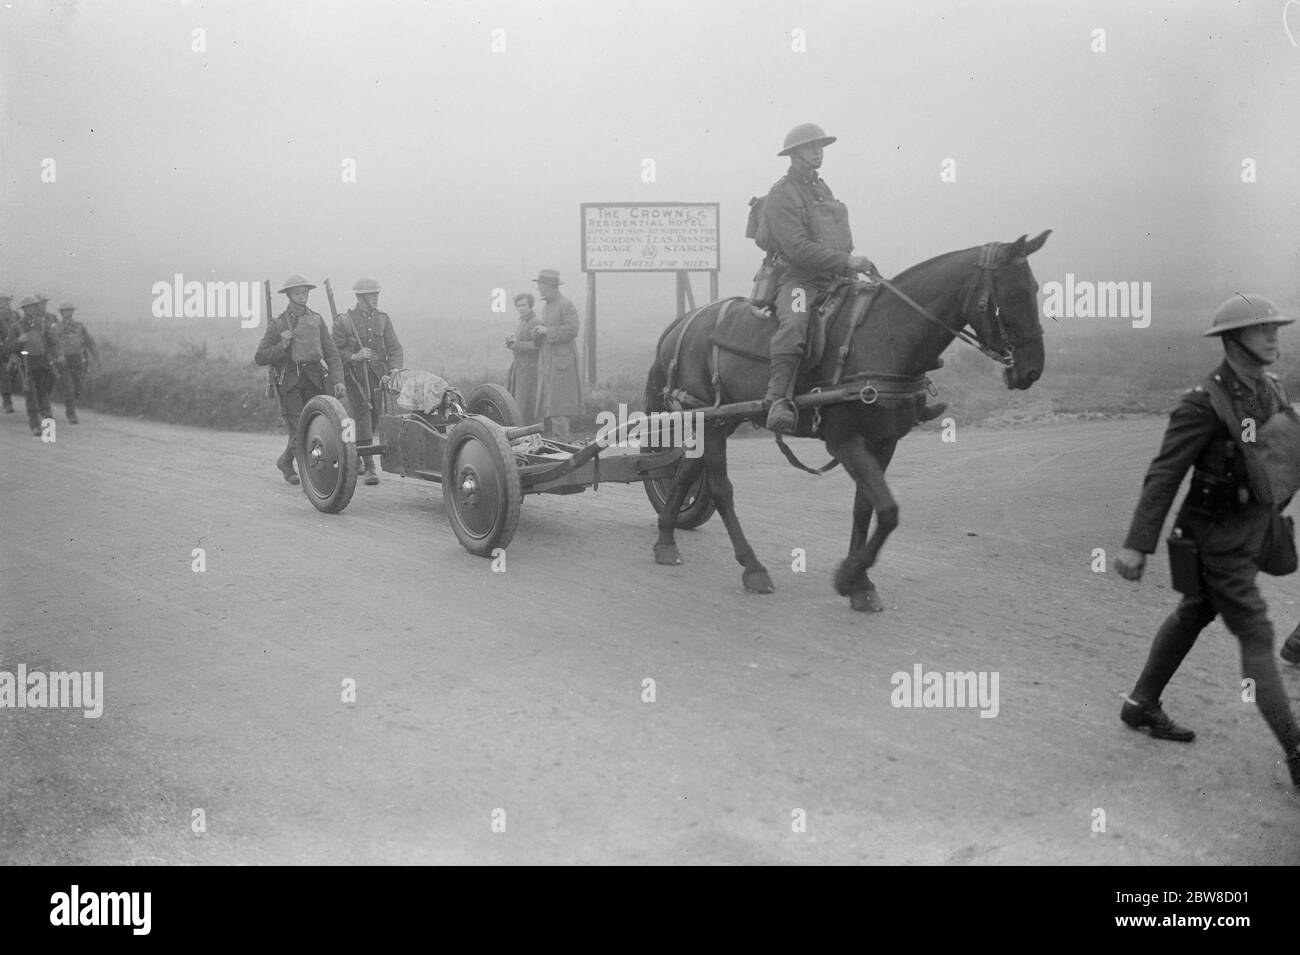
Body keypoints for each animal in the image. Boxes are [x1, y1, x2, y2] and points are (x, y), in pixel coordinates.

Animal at [644, 231, 1050, 613]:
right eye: (1014, 292)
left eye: (1033, 289)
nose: (1032, 369)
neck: (884, 336)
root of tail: (679, 325)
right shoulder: (844, 441)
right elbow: (888, 511)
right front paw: (848, 576)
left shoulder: (883, 442)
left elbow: (866, 507)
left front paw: (861, 585)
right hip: (709, 421)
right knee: (721, 488)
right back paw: (752, 566)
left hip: (722, 418)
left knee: (685, 471)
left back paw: (666, 539)